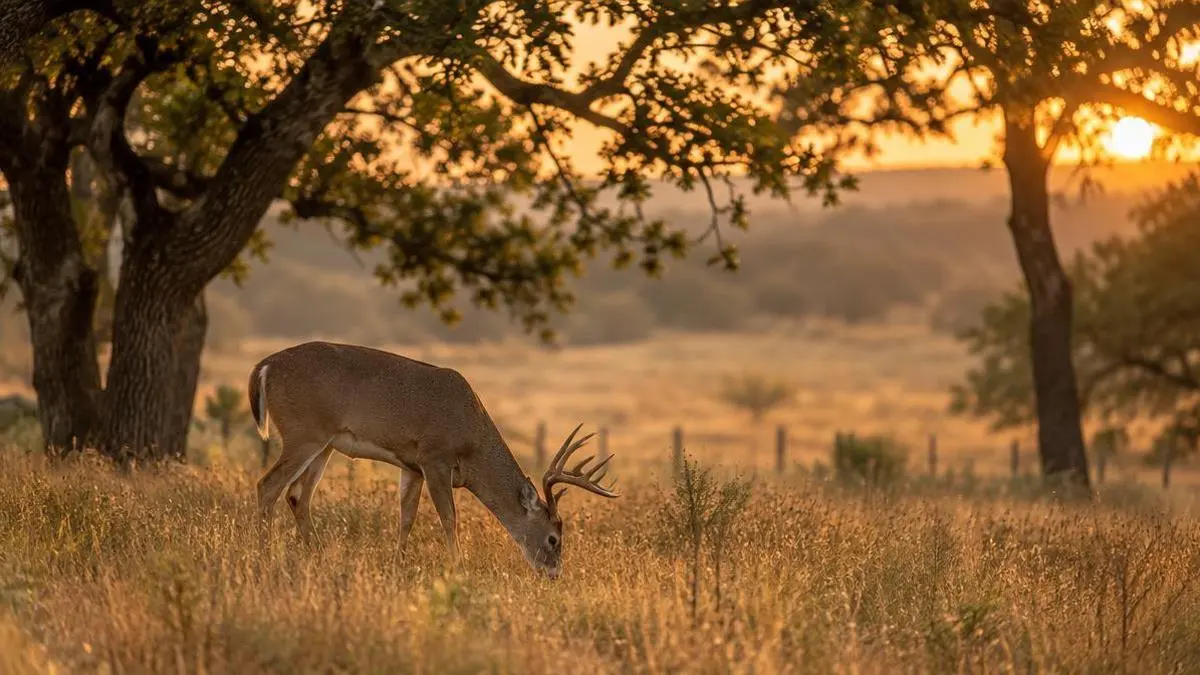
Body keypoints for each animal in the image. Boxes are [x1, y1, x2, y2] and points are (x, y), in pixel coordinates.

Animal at [246, 340, 618, 578]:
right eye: (554, 538)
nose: (554, 573)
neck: (471, 437)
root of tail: (264, 367)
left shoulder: (411, 465)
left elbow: (406, 517)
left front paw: (398, 565)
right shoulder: (435, 457)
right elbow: (449, 518)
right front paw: (459, 568)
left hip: (324, 444)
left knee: (297, 495)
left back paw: (319, 555)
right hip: (304, 432)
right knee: (268, 485)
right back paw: (265, 558)